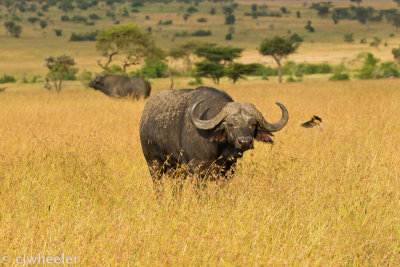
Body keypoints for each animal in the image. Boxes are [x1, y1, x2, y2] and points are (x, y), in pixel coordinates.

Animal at [140, 87, 288, 183]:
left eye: (252, 124)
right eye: (230, 124)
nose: (245, 142)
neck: (218, 150)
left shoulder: (227, 172)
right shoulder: (197, 172)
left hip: (176, 169)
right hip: (153, 163)